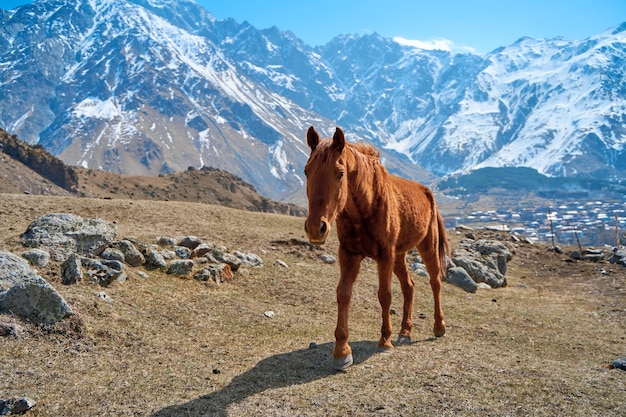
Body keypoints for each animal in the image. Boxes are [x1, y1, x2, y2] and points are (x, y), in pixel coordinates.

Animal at [304, 125, 446, 368]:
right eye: (306, 171)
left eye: (340, 173)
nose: (315, 228)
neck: (366, 206)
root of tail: (427, 193)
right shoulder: (349, 254)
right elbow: (343, 293)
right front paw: (341, 352)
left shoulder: (385, 255)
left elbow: (385, 295)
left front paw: (385, 341)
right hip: (400, 256)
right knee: (409, 286)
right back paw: (405, 332)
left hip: (427, 247)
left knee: (435, 283)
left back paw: (438, 327)